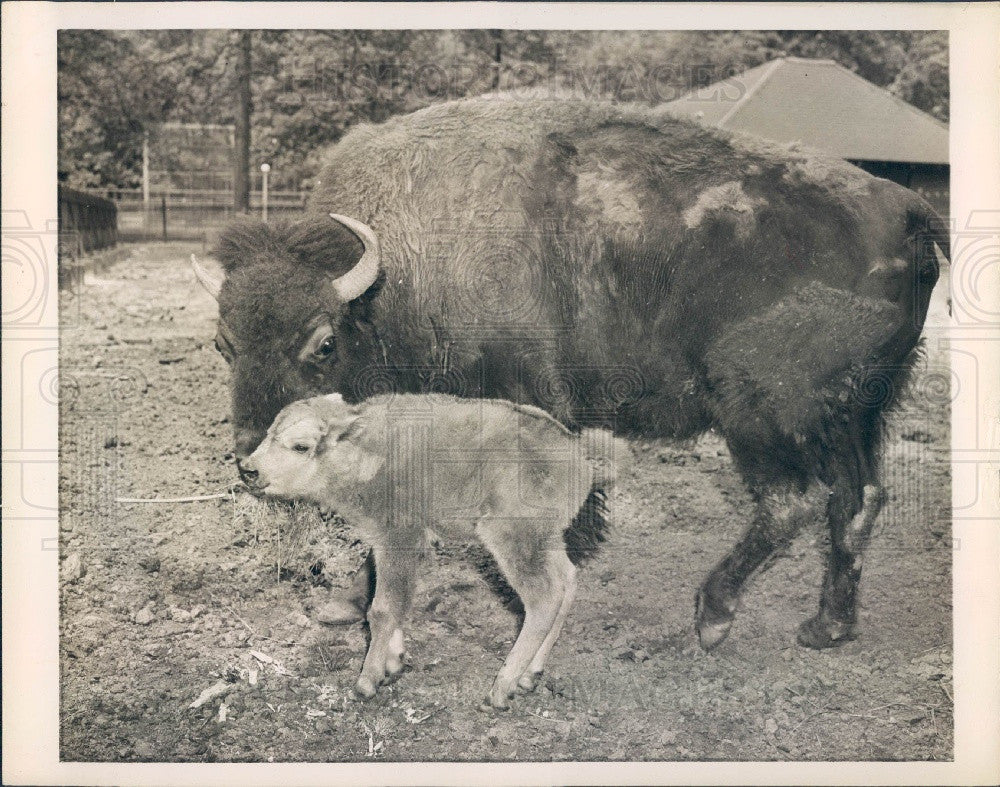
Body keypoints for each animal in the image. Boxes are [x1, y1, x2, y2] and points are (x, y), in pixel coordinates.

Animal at [193, 97, 944, 652]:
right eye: (224, 343)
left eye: (321, 343)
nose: (249, 461)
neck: (394, 277)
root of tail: (905, 210)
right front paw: (348, 603)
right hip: (855, 413)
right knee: (858, 498)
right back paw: (826, 626)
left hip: (763, 412)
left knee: (793, 501)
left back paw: (712, 615)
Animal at [242, 394, 624, 708]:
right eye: (269, 433)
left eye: (300, 446)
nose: (248, 469)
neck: (365, 450)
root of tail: (577, 453)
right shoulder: (384, 544)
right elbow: (387, 598)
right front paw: (393, 663)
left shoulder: (398, 539)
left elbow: (383, 608)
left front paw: (366, 683)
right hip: (546, 539)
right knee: (567, 581)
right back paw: (530, 676)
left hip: (512, 538)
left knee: (544, 598)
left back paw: (499, 691)